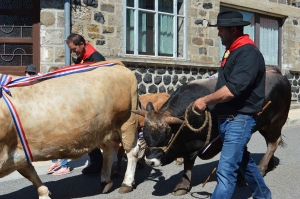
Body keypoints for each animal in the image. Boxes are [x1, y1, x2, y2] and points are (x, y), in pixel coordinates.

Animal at [0, 59, 139, 198]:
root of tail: (115, 63)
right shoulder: (18, 153)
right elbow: (32, 175)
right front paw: (45, 193)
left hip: (127, 121)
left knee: (132, 151)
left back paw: (126, 183)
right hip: (102, 129)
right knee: (108, 151)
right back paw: (105, 181)